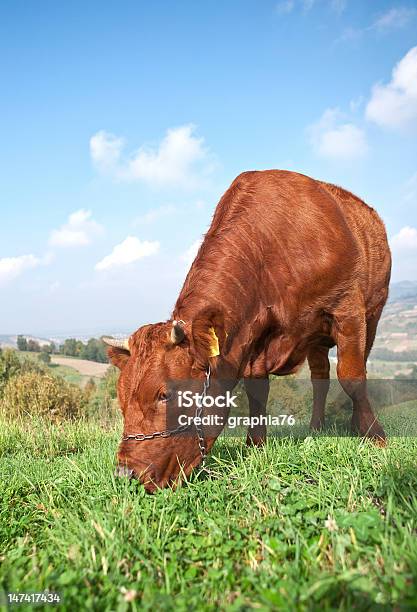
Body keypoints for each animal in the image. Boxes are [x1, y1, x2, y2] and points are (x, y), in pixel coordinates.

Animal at [105, 169, 390, 492]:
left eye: (164, 394)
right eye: (121, 395)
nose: (125, 473)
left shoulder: (347, 308)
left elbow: (352, 377)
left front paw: (375, 436)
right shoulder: (254, 335)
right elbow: (257, 390)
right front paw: (255, 445)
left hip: (372, 314)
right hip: (316, 340)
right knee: (320, 377)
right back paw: (316, 428)